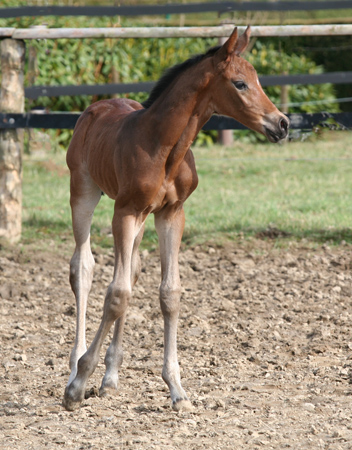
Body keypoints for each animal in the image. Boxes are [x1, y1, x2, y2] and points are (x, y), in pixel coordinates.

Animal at [63, 24, 288, 412]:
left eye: (257, 79)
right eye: (240, 83)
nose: (282, 123)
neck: (164, 146)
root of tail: (94, 107)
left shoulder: (171, 214)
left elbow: (168, 294)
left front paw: (177, 390)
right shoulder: (125, 211)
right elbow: (117, 294)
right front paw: (78, 384)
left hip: (139, 218)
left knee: (131, 270)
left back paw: (110, 378)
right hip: (84, 192)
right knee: (84, 267)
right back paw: (75, 366)